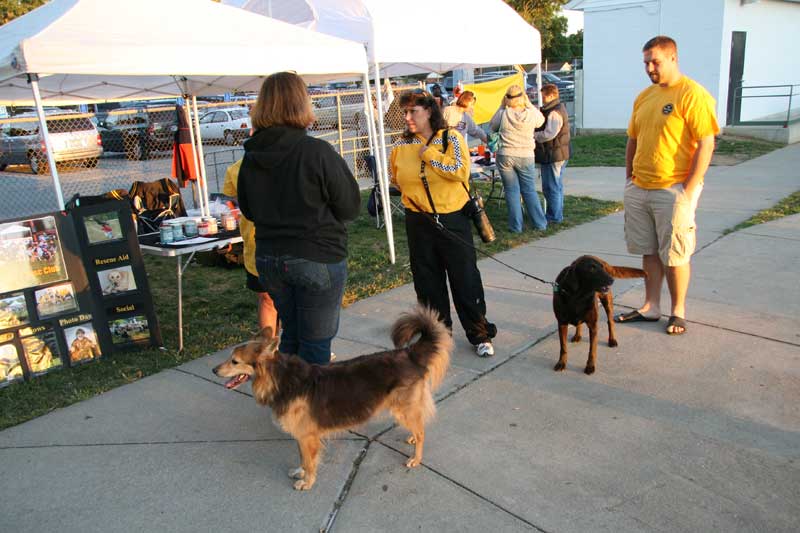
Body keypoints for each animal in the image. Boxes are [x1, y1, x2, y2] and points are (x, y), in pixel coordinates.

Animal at [211, 306, 450, 488]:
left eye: (234, 361)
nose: (213, 370)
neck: (279, 378)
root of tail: (409, 354)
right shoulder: (302, 435)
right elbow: (302, 459)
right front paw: (300, 472)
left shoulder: (307, 436)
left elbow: (309, 462)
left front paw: (307, 482)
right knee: (418, 425)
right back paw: (411, 437)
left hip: (403, 408)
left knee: (422, 432)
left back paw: (416, 458)